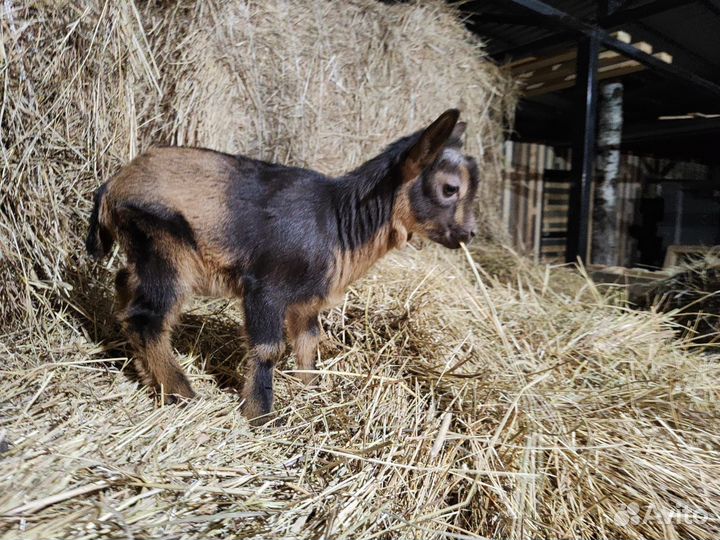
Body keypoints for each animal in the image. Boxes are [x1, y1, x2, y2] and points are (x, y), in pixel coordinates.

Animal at [86, 109, 479, 424]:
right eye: (450, 188)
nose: (469, 234)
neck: (339, 222)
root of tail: (112, 187)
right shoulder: (266, 288)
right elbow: (269, 348)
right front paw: (260, 415)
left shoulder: (305, 303)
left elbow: (308, 342)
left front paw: (312, 393)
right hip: (164, 245)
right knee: (147, 318)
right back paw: (183, 393)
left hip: (145, 251)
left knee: (125, 286)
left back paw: (146, 374)